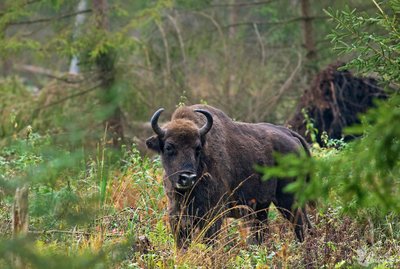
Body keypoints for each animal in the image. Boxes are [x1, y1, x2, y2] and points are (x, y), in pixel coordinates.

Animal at [147, 104, 312, 247]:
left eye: (197, 148)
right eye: (168, 147)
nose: (187, 178)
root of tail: (291, 136)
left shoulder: (213, 215)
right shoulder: (177, 217)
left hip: (288, 201)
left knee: (299, 226)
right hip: (265, 208)